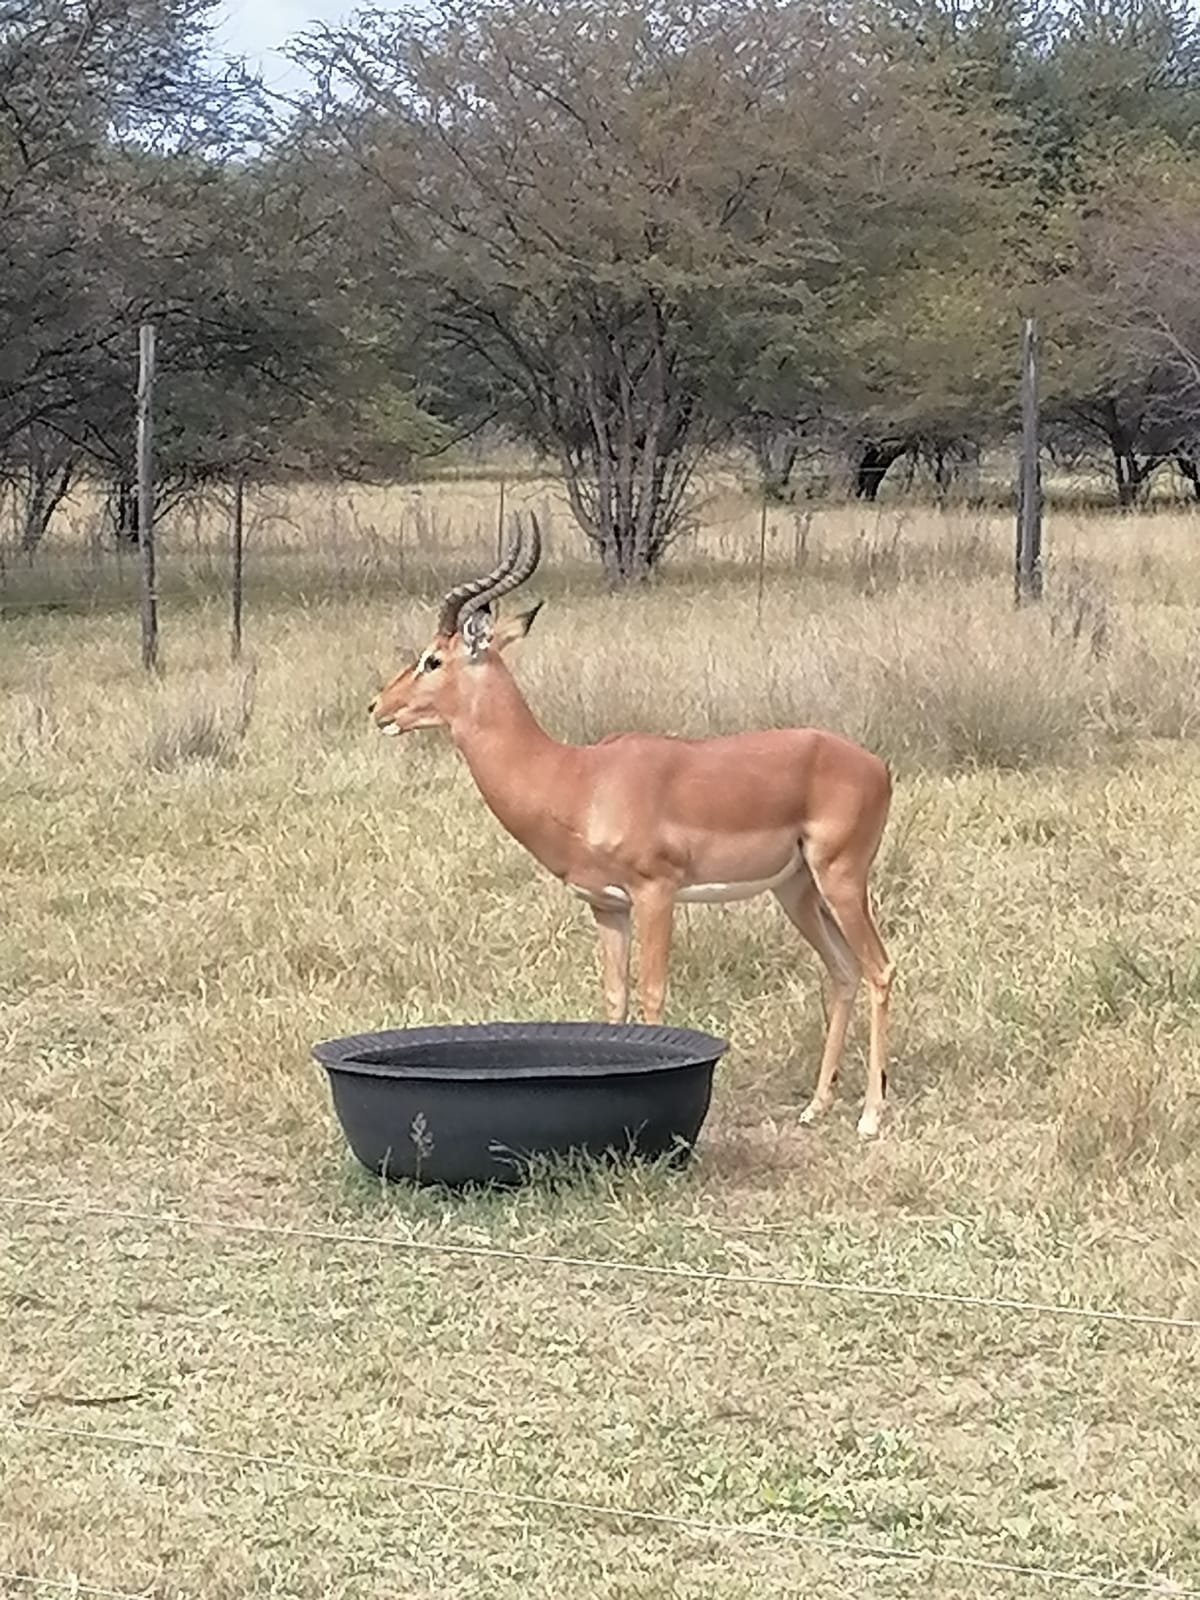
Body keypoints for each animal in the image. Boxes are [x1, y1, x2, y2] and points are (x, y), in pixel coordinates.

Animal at [370, 515, 895, 1137]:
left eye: (433, 659)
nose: (378, 707)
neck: (577, 778)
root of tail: (875, 765)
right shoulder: (608, 906)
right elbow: (615, 999)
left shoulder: (656, 892)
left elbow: (651, 994)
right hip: (797, 890)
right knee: (843, 972)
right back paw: (816, 1105)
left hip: (841, 879)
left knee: (880, 969)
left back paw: (870, 1118)